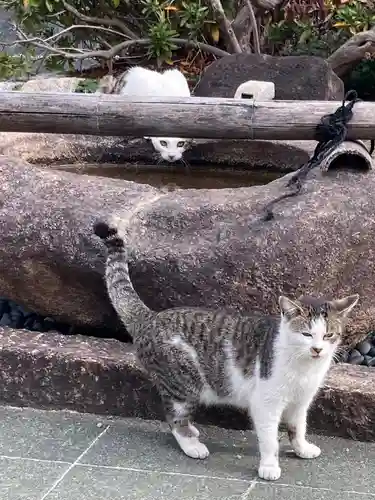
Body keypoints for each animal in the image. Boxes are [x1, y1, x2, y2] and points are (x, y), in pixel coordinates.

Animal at [93, 218, 358, 480]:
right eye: (306, 334)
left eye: (328, 335)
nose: (317, 349)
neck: (304, 367)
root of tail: (150, 317)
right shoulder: (266, 403)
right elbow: (270, 440)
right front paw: (269, 466)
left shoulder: (300, 401)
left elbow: (298, 427)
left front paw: (302, 448)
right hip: (183, 383)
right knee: (174, 417)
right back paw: (192, 445)